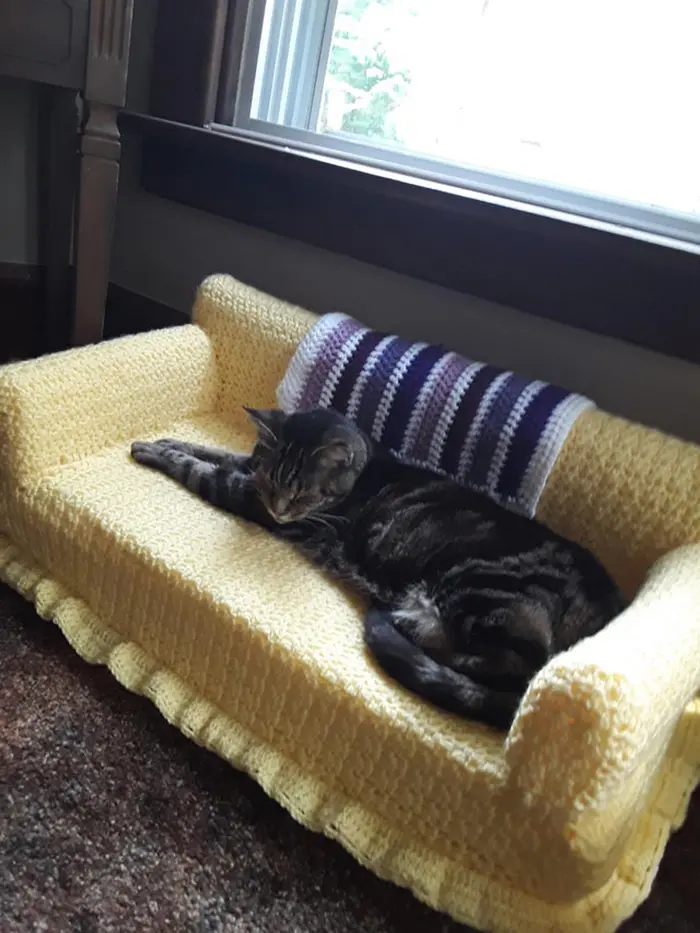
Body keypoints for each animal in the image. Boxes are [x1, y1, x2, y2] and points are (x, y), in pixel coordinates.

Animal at [133, 408, 628, 728]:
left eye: (301, 493)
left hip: (483, 587)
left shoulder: (250, 500)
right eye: (273, 479)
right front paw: (165, 440)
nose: (279, 508)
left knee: (513, 670)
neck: (366, 467)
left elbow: (205, 470)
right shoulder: (251, 478)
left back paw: (408, 627)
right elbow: (217, 452)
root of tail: (607, 608)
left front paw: (156, 453)